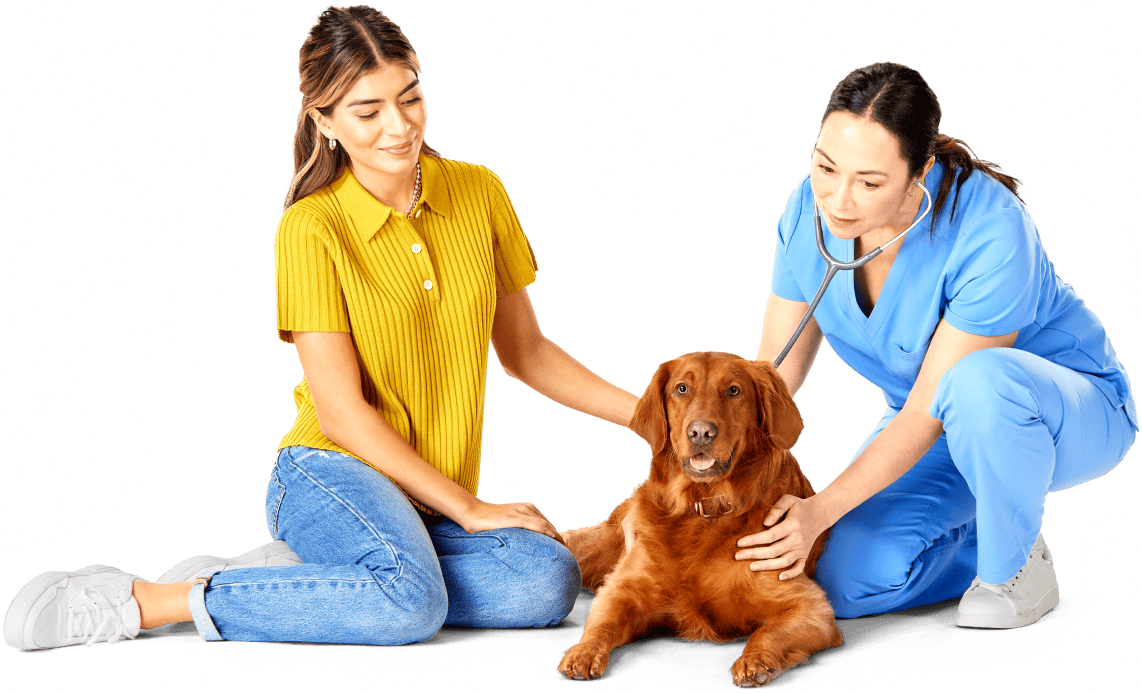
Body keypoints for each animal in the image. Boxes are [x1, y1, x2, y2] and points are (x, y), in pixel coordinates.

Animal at [559, 351, 840, 689]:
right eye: (681, 389)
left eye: (734, 391)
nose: (701, 433)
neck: (702, 507)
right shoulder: (625, 588)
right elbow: (602, 621)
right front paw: (583, 652)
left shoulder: (809, 606)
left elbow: (768, 632)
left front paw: (756, 660)